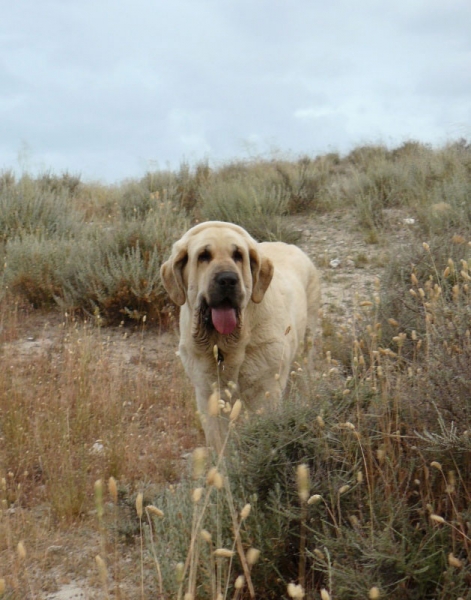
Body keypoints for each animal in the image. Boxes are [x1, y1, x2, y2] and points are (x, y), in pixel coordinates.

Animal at [161, 220, 320, 450]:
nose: (228, 280)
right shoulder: (208, 395)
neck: (225, 345)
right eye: (203, 256)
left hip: (304, 353)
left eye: (238, 255)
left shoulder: (264, 393)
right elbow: (219, 443)